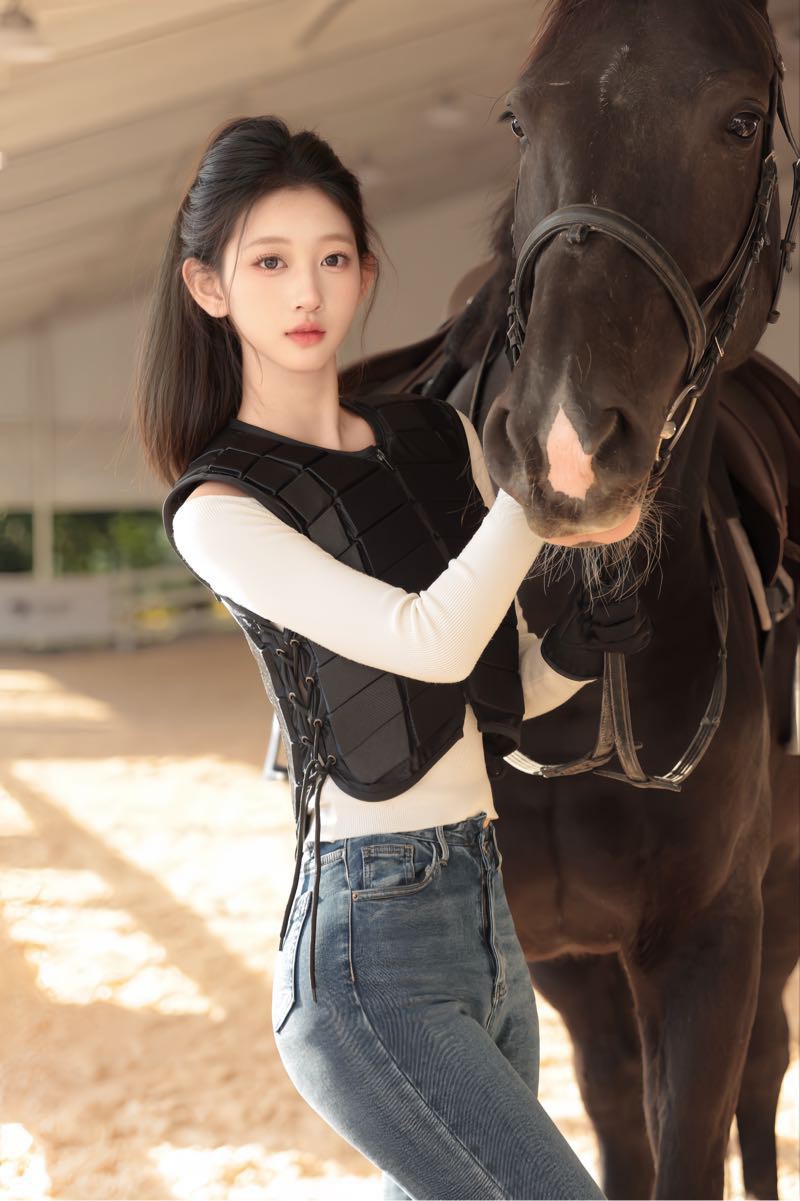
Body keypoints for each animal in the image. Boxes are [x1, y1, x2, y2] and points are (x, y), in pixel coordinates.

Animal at [339, 1, 800, 1196]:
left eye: (740, 119)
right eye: (516, 116)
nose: (564, 443)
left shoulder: (708, 943)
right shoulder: (554, 954)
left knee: (762, 1071)